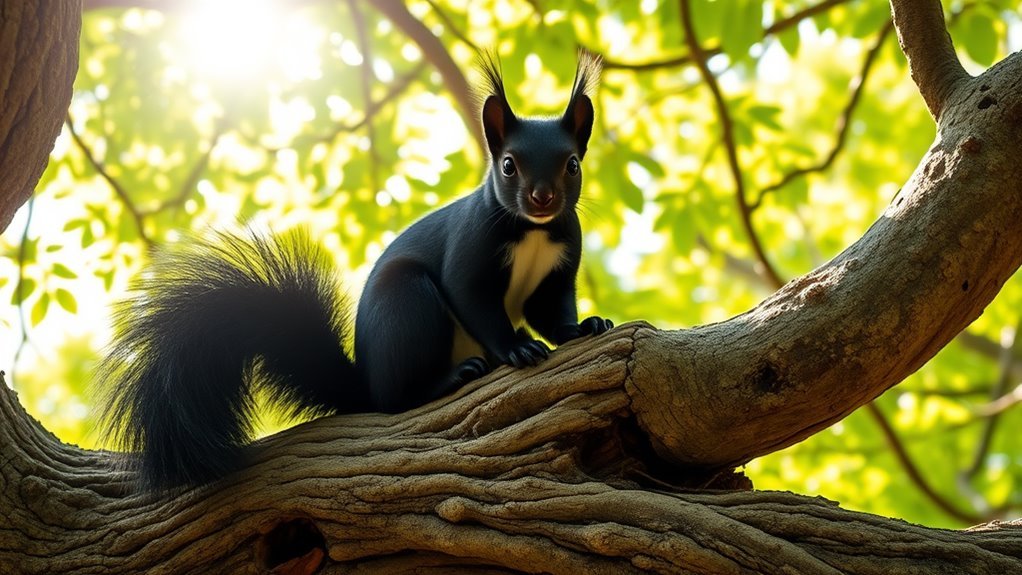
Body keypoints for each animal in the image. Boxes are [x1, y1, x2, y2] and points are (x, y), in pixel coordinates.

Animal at [99, 52, 613, 490]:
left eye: (572, 164)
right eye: (508, 165)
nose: (542, 197)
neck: (533, 231)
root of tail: (364, 381)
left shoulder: (557, 272)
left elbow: (553, 311)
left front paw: (585, 326)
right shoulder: (468, 254)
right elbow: (476, 303)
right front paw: (518, 348)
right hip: (406, 303)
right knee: (394, 401)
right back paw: (452, 378)